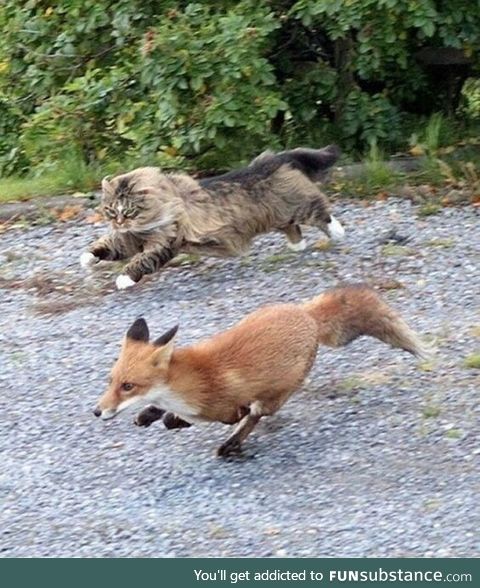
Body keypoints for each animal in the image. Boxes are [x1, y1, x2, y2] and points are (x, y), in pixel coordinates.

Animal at [79, 145, 342, 288]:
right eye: (110, 210)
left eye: (129, 210)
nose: (118, 222)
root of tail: (270, 160)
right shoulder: (127, 239)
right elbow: (106, 246)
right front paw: (86, 258)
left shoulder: (164, 242)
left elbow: (140, 261)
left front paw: (124, 279)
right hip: (278, 215)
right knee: (293, 227)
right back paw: (297, 246)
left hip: (298, 205)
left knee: (319, 209)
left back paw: (338, 232)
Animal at [93, 282, 428, 458]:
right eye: (111, 381)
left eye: (128, 386)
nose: (97, 412)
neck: (190, 382)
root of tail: (305, 314)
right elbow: (162, 413)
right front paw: (151, 414)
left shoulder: (229, 407)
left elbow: (230, 416)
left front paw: (172, 419)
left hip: (277, 393)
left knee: (257, 415)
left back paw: (231, 445)